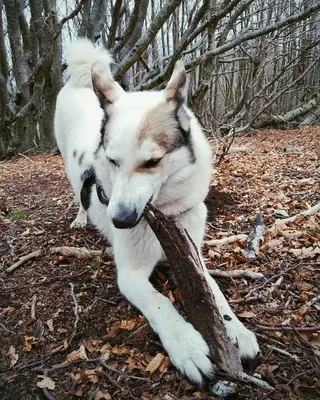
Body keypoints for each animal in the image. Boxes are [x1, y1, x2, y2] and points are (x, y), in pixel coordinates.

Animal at [54, 39, 260, 386]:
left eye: (152, 162)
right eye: (112, 161)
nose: (120, 221)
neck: (164, 211)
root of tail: (79, 83)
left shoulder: (193, 257)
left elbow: (215, 293)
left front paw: (236, 329)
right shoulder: (130, 275)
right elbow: (160, 302)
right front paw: (186, 344)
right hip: (70, 168)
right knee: (79, 193)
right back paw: (82, 218)